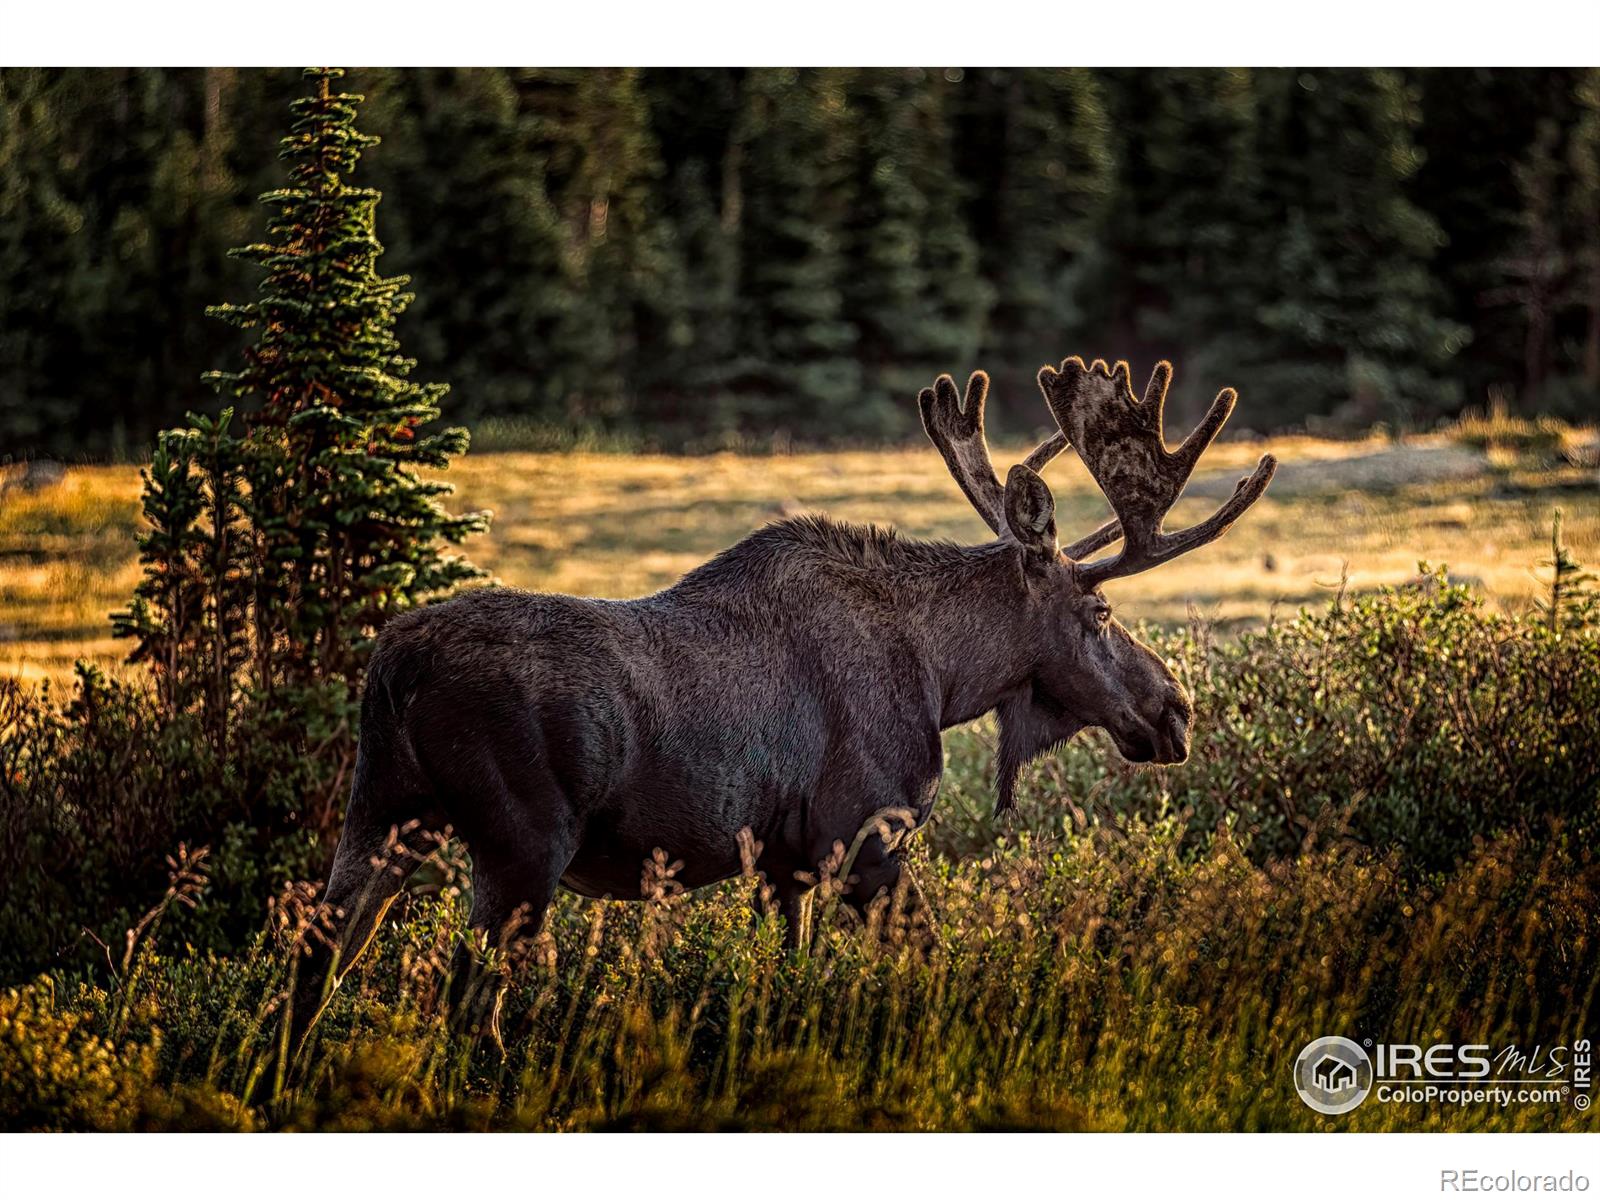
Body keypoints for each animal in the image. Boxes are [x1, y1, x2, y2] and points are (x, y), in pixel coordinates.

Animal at [288, 356, 1280, 1049]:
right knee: (467, 1004)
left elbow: (781, 978)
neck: (944, 675)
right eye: (1100, 611)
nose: (1177, 710)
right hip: (520, 843)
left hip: (382, 811)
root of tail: (393, 665)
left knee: (319, 952)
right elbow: (932, 963)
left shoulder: (782, 861)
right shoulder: (864, 834)